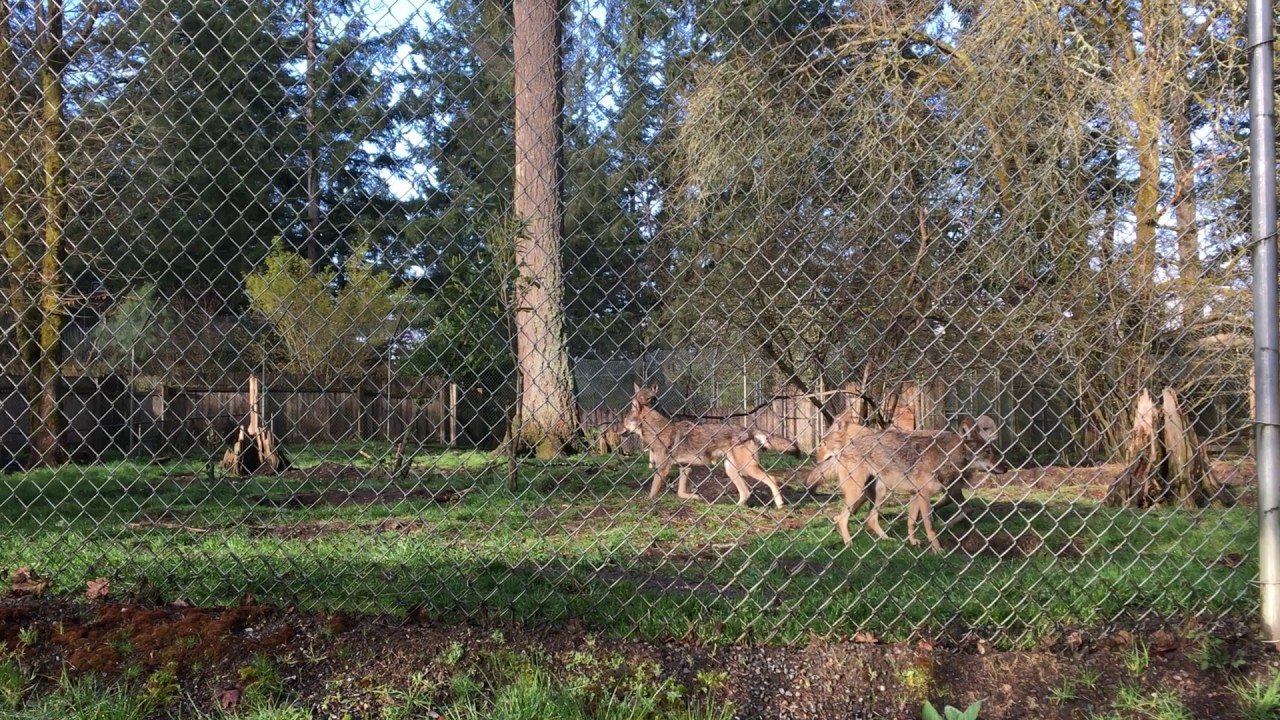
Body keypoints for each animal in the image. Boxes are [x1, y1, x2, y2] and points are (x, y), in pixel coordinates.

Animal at [622, 384, 802, 508]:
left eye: (624, 421)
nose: (619, 431)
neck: (657, 430)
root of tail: (748, 429)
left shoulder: (663, 470)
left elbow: (653, 491)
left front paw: (648, 502)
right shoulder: (685, 468)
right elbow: (680, 493)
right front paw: (695, 497)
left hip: (747, 468)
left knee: (772, 479)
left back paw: (779, 503)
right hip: (732, 470)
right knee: (746, 492)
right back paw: (736, 508)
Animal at [832, 415, 1004, 553]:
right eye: (988, 452)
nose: (1006, 467)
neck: (945, 457)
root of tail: (845, 447)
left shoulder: (915, 495)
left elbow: (912, 521)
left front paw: (913, 542)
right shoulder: (924, 495)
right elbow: (930, 526)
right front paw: (937, 549)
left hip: (880, 493)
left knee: (870, 519)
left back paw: (887, 540)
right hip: (858, 493)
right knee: (842, 518)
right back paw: (849, 543)